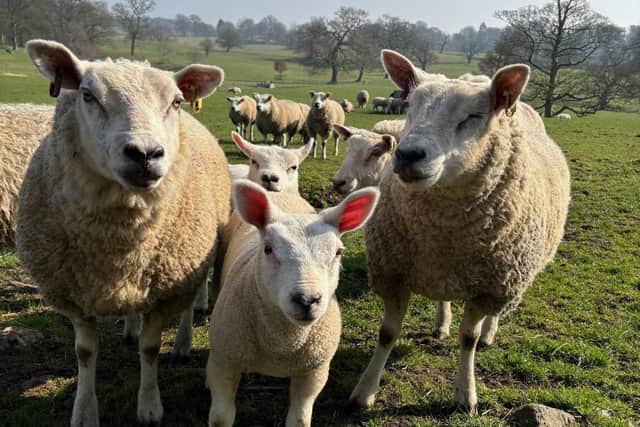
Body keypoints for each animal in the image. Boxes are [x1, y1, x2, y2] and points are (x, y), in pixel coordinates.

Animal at [16, 40, 231, 426]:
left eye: (176, 102)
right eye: (87, 95)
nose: (146, 154)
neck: (118, 241)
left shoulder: (168, 289)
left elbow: (151, 347)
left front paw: (149, 405)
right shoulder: (72, 294)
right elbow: (85, 353)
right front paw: (85, 410)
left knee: (190, 304)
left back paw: (182, 344)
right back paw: (130, 327)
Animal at [207, 179, 380, 427]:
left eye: (338, 252)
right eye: (268, 249)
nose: (307, 300)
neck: (281, 345)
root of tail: (279, 194)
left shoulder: (314, 372)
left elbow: (299, 420)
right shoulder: (225, 361)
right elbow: (221, 418)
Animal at [349, 50, 570, 414]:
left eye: (474, 116)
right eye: (410, 106)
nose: (408, 155)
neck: (442, 230)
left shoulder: (490, 287)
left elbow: (469, 339)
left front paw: (466, 394)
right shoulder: (393, 274)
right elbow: (387, 333)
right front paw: (364, 391)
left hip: (509, 280)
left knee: (491, 319)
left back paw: (490, 332)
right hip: (445, 273)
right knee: (444, 297)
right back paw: (441, 324)